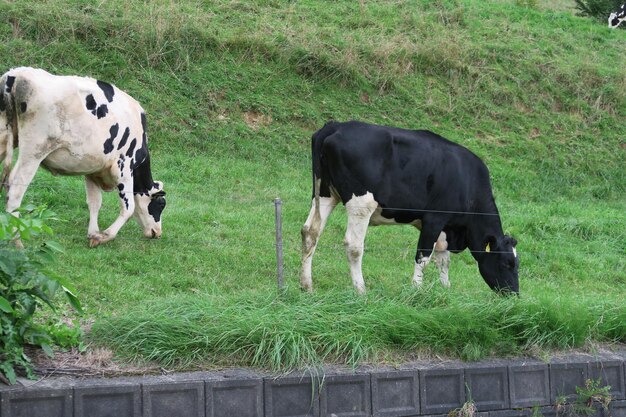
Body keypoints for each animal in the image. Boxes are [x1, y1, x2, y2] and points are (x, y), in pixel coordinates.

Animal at [0, 66, 166, 245]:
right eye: (161, 204)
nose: (157, 232)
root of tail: (16, 74)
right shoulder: (124, 168)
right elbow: (128, 209)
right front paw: (103, 236)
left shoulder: (92, 171)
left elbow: (94, 202)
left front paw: (93, 233)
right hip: (35, 149)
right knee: (16, 187)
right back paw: (17, 241)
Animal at [300, 120, 520, 294]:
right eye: (506, 263)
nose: (514, 294)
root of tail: (336, 125)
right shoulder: (434, 219)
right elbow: (424, 256)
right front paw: (417, 289)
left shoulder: (446, 228)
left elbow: (443, 259)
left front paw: (445, 289)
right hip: (361, 203)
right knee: (354, 245)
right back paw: (361, 290)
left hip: (325, 194)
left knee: (310, 232)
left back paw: (306, 285)